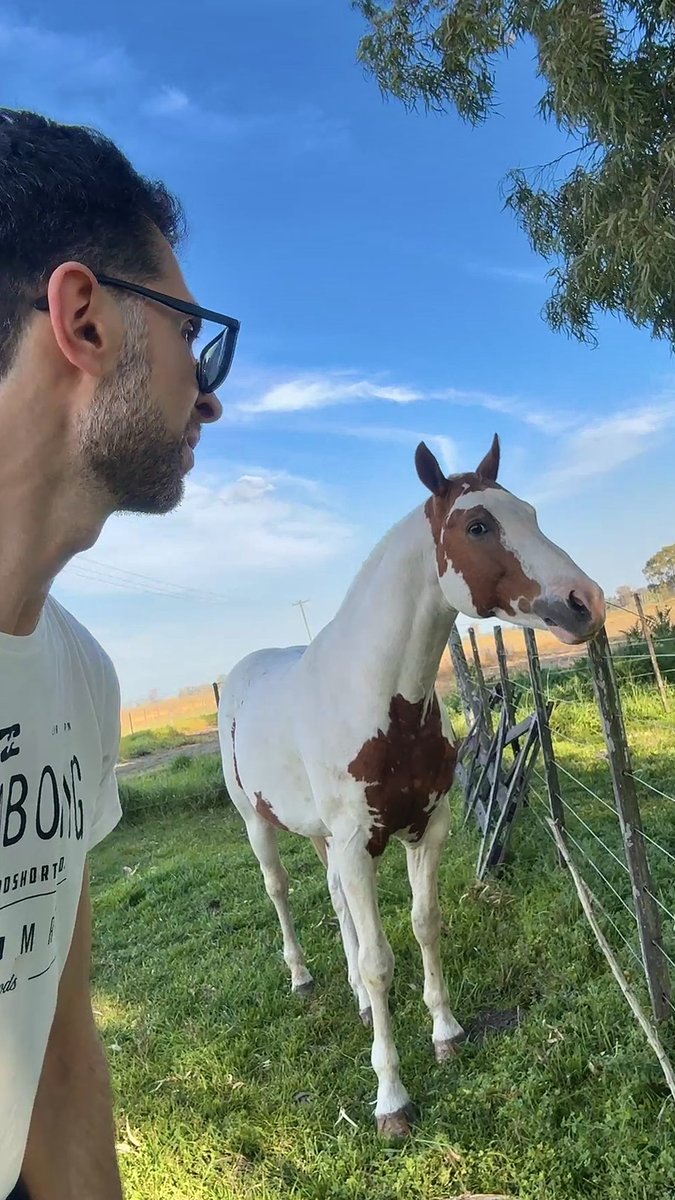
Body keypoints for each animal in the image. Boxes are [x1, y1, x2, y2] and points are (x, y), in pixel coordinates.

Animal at [217, 435, 605, 1137]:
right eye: (477, 526)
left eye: (531, 513)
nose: (585, 600)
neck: (378, 700)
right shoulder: (357, 845)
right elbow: (379, 962)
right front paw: (391, 1098)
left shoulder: (426, 828)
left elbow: (425, 925)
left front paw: (446, 1033)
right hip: (259, 823)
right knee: (281, 891)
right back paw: (303, 976)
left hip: (323, 837)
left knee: (334, 897)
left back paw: (352, 997)